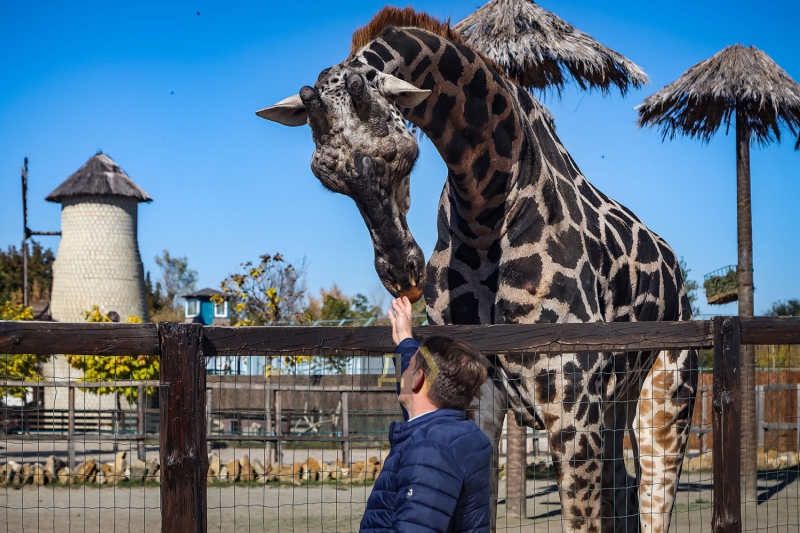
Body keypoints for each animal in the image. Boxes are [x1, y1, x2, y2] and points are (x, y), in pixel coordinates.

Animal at [260, 8, 696, 532]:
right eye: (328, 178)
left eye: (406, 155)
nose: (402, 272)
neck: (485, 210)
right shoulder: (479, 392)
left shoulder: (571, 399)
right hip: (617, 406)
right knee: (624, 496)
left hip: (666, 397)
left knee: (652, 504)